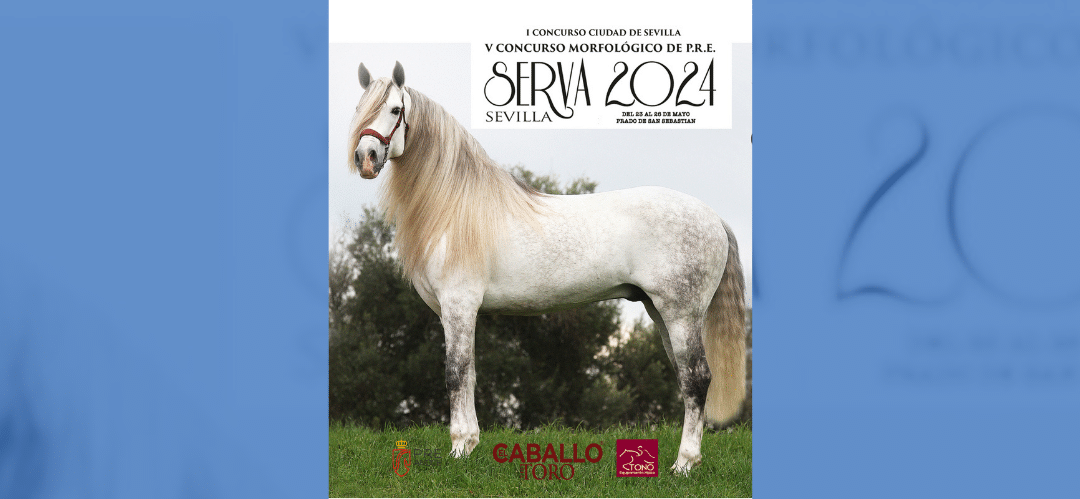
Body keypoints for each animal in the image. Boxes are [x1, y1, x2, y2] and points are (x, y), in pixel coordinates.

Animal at [346, 61, 747, 472]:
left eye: (395, 109)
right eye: (359, 109)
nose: (365, 158)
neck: (456, 208)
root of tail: (714, 217)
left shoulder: (459, 306)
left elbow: (455, 374)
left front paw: (458, 449)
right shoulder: (457, 313)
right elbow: (470, 374)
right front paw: (470, 445)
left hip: (682, 313)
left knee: (697, 379)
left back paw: (683, 465)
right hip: (661, 312)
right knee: (686, 380)